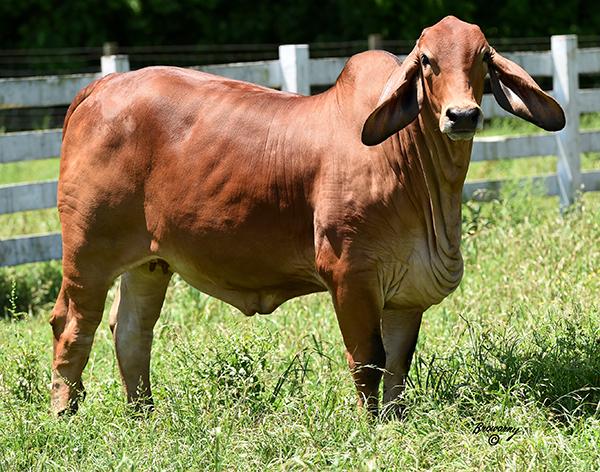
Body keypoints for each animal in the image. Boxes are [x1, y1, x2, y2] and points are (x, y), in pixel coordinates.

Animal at [49, 16, 564, 416]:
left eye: (482, 58)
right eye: (427, 61)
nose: (462, 115)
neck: (416, 173)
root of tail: (101, 86)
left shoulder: (406, 292)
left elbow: (398, 364)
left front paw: (395, 422)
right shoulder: (350, 275)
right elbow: (368, 359)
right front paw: (370, 427)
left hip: (150, 263)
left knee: (131, 332)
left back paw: (144, 415)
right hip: (87, 253)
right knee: (72, 326)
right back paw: (66, 414)